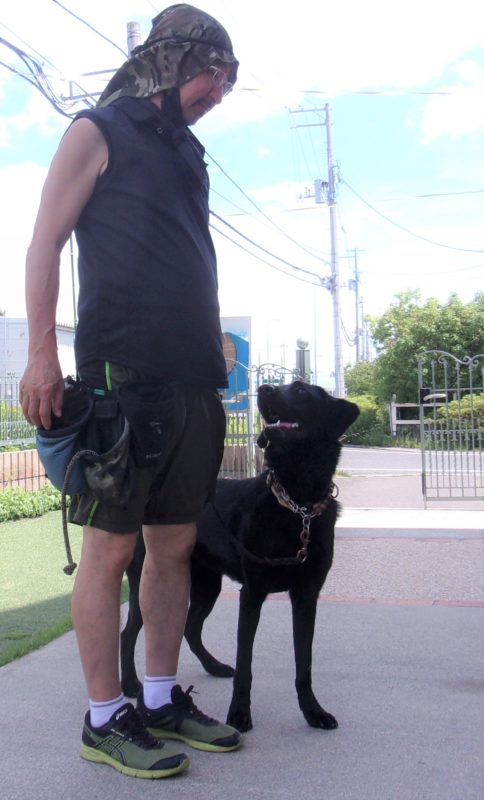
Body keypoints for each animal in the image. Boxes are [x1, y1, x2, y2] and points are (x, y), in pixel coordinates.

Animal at [120, 380, 359, 732]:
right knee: (128, 633)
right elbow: (245, 663)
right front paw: (238, 714)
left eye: (301, 391)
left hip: (207, 584)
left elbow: (304, 664)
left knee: (190, 628)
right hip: (145, 583)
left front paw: (313, 711)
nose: (264, 388)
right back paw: (130, 684)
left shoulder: (306, 596)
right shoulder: (252, 594)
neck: (296, 504)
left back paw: (214, 666)